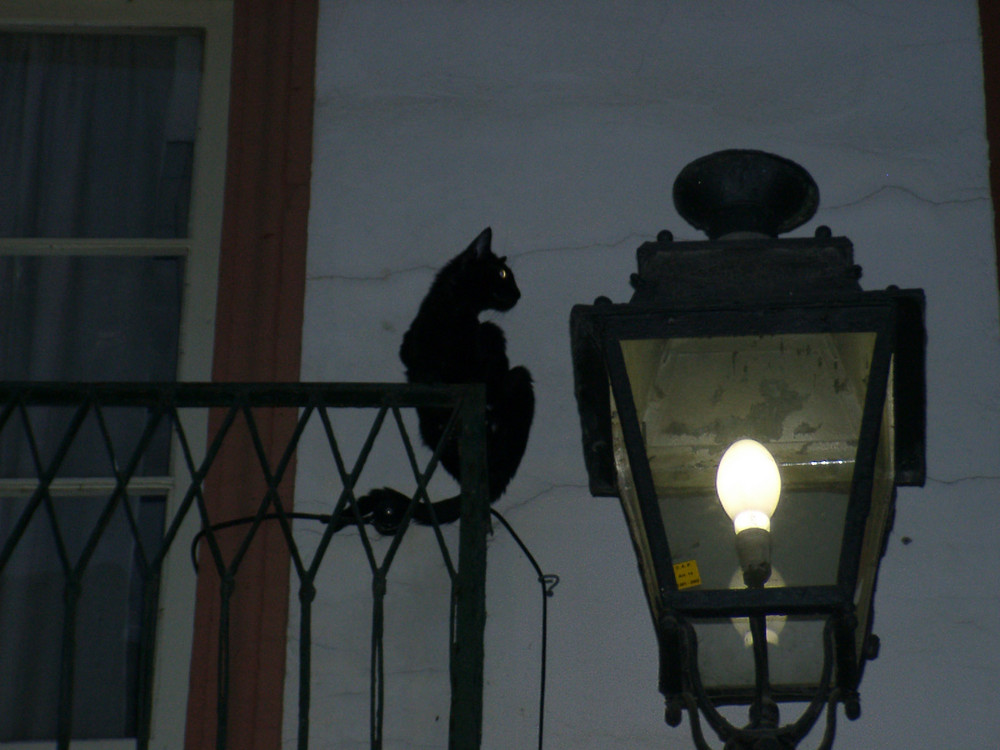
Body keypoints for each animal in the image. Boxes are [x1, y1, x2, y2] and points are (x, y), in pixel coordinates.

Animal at [358, 229, 532, 536]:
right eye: (502, 273)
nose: (518, 293)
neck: (455, 313)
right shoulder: (413, 351)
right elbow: (427, 374)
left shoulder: (482, 348)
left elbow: (485, 364)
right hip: (432, 431)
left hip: (519, 378)